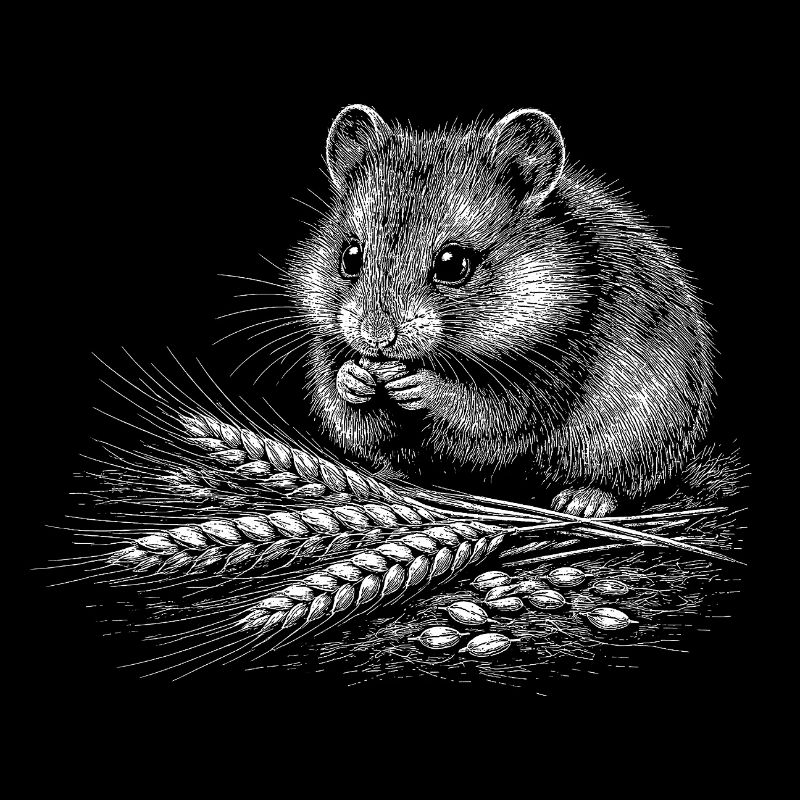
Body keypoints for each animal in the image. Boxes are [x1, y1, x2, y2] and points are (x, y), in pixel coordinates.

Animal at [285, 104, 715, 517]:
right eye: (350, 255)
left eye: (453, 264)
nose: (376, 338)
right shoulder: (328, 356)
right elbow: (345, 404)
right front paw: (355, 377)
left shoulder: (543, 376)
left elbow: (482, 409)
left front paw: (416, 384)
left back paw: (582, 503)